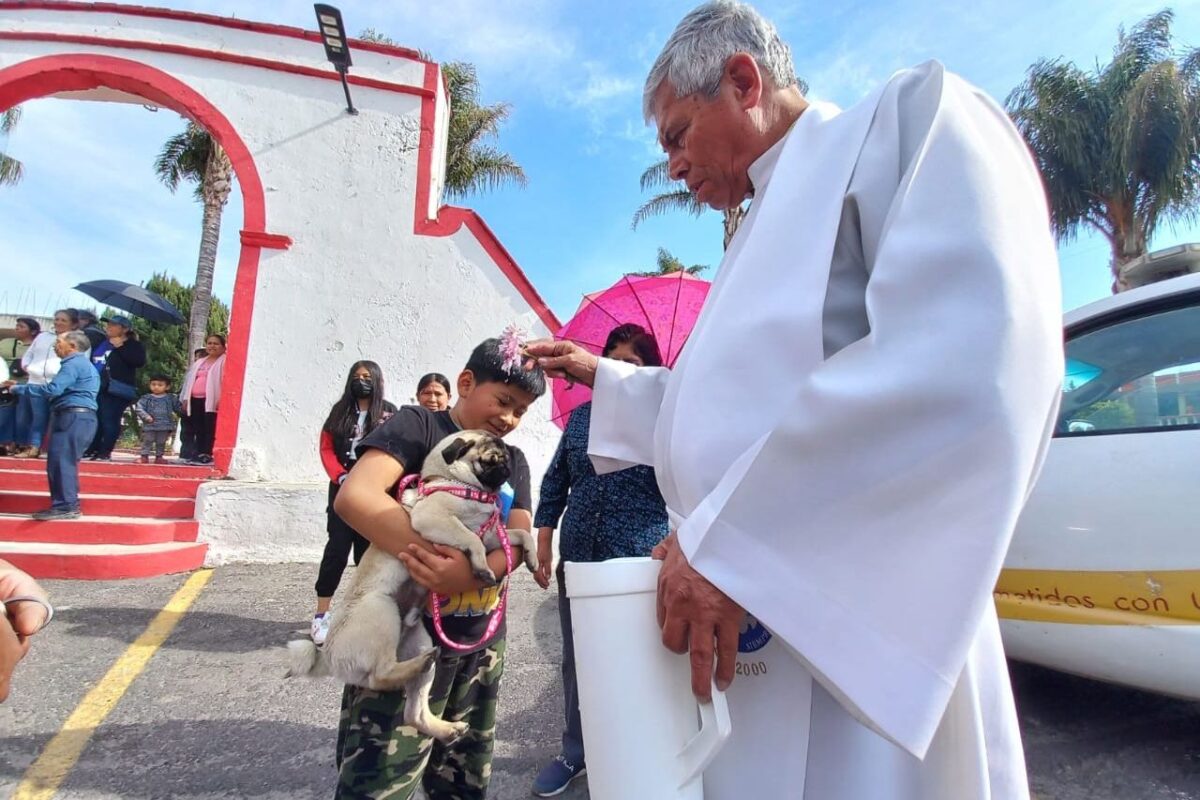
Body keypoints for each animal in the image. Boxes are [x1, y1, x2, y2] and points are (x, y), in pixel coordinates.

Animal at [285, 434, 535, 743]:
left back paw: (446, 725)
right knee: (380, 675)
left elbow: (521, 534)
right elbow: (470, 539)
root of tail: (328, 654)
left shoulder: (491, 536)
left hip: (418, 641)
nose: (506, 467)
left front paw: (534, 558)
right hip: (381, 610)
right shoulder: (435, 520)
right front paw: (481, 568)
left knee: (413, 714)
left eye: (504, 457)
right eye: (489, 460)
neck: (460, 485)